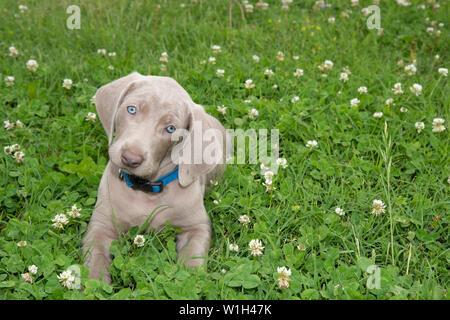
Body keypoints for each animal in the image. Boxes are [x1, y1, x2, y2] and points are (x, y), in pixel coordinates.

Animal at [81, 72, 229, 282]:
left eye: (170, 129)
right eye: (131, 109)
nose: (130, 158)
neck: (146, 188)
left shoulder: (197, 226)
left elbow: (193, 256)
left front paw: (190, 279)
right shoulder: (101, 225)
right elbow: (95, 259)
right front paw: (94, 282)